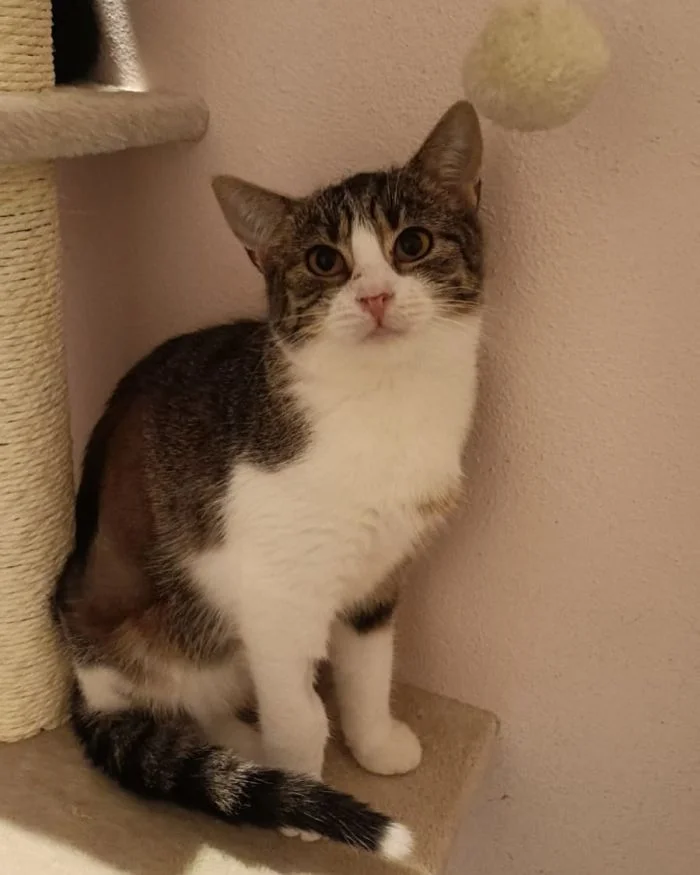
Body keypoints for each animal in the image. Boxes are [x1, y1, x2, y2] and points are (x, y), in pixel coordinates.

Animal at [52, 100, 484, 860]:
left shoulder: (380, 571)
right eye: (324, 260)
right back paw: (249, 758)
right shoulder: (276, 593)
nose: (375, 296)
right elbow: (300, 705)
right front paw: (302, 794)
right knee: (174, 702)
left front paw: (375, 744)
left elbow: (369, 667)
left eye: (413, 243)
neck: (385, 403)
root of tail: (82, 677)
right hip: (151, 629)